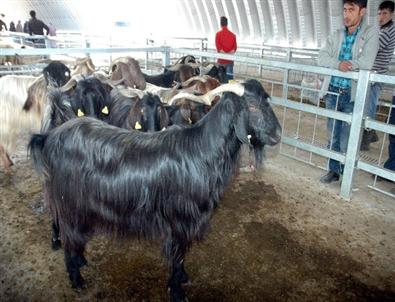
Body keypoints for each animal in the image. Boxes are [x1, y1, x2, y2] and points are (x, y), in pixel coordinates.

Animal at [28, 78, 282, 302]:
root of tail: (49, 137)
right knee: (66, 236)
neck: (201, 151)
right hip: (68, 202)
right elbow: (177, 256)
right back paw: (77, 279)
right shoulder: (180, 220)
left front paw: (183, 278)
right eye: (251, 105)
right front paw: (177, 291)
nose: (277, 135)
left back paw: (80, 260)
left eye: (267, 100)